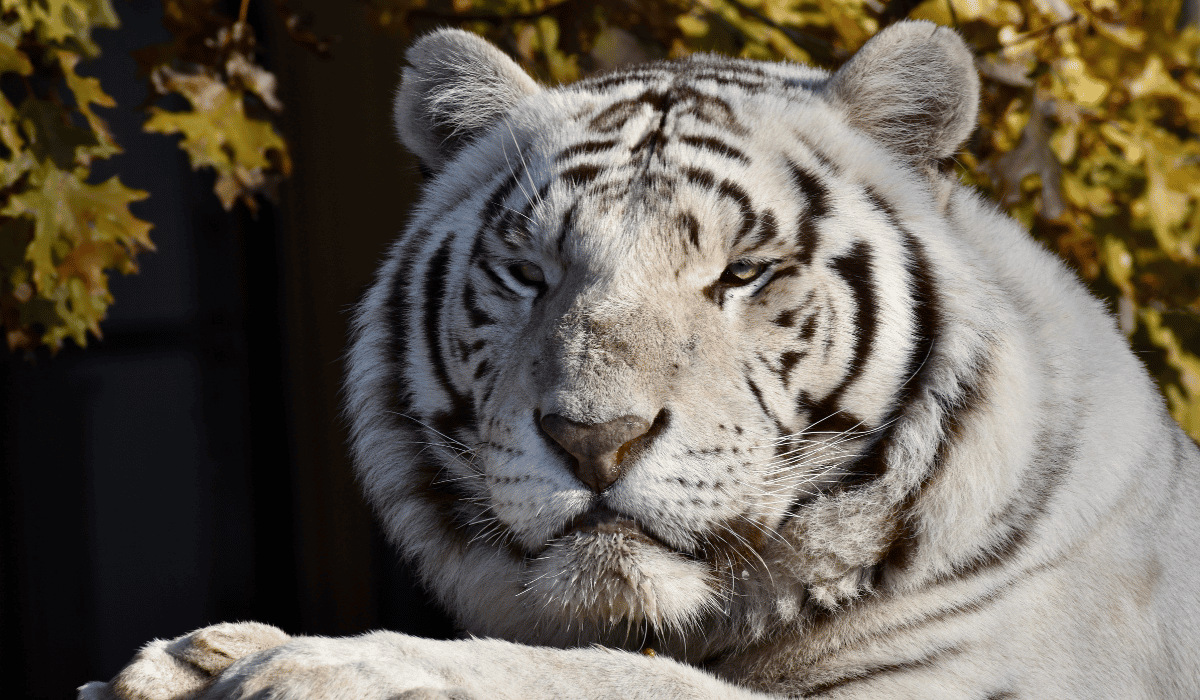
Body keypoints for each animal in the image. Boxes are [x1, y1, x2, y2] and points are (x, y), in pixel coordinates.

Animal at [81, 19, 1200, 700]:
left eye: (743, 272)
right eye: (528, 270)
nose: (595, 441)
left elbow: (630, 681)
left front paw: (313, 666)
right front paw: (198, 658)